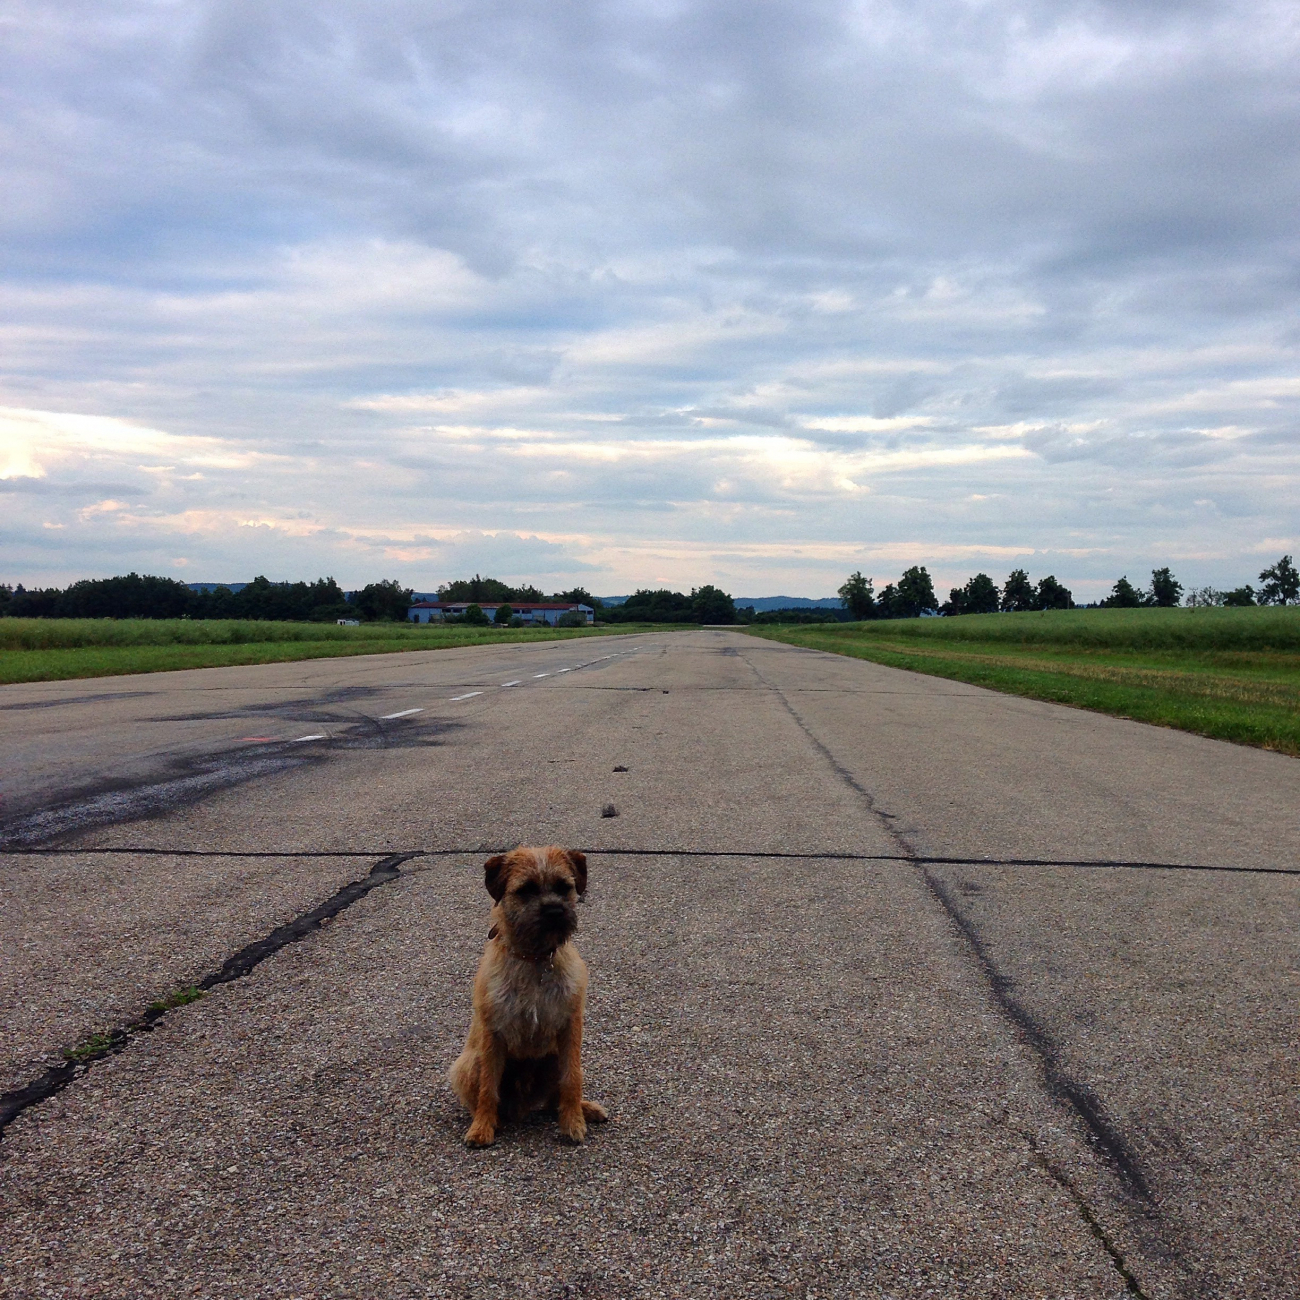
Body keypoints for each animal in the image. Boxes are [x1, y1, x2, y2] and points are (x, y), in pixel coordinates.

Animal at [447, 847, 608, 1144]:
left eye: (563, 887)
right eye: (526, 890)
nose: (555, 911)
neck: (535, 959)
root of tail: (522, 1105)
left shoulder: (570, 1027)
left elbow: (572, 1078)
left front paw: (573, 1122)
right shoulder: (493, 1032)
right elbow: (488, 1086)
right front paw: (482, 1128)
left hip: (553, 1056)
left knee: (554, 1099)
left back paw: (583, 1109)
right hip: (466, 1065)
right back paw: (492, 1119)